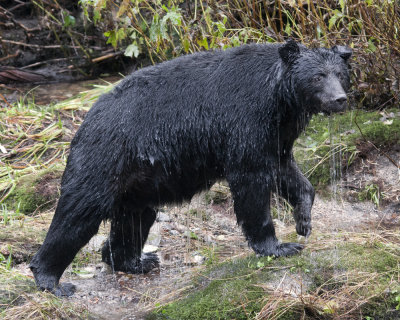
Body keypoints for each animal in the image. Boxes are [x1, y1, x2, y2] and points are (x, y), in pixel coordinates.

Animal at [30, 39, 350, 296]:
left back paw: (136, 261)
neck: (280, 99)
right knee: (78, 213)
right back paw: (51, 280)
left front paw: (303, 220)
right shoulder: (245, 120)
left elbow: (287, 172)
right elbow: (251, 182)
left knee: (134, 218)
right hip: (105, 158)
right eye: (318, 76)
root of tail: (85, 119)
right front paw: (278, 246)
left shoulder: (277, 134)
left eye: (340, 75)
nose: (340, 99)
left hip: (138, 182)